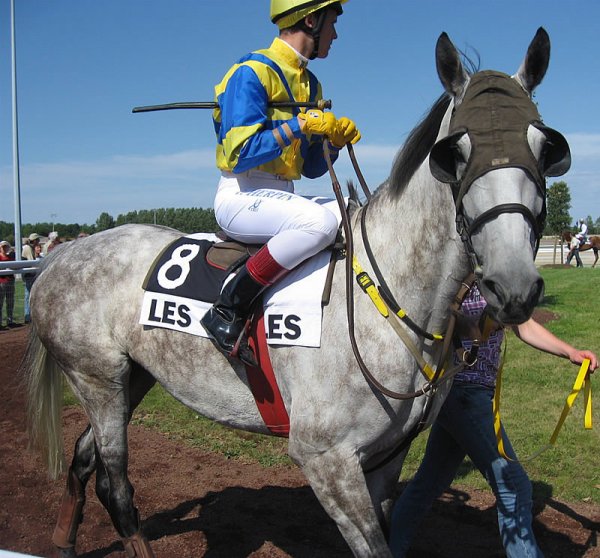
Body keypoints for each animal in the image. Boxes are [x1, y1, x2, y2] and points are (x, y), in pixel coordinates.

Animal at [21, 29, 568, 558]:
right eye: (455, 152)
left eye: (546, 148)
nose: (514, 285)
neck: (388, 300)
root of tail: (62, 256)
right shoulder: (325, 459)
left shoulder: (386, 459)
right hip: (95, 378)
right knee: (115, 486)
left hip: (131, 377)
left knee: (83, 460)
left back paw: (62, 541)